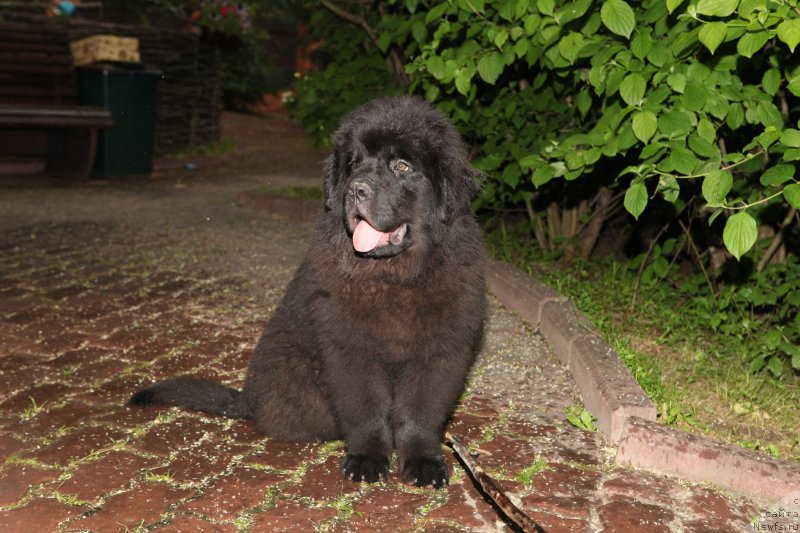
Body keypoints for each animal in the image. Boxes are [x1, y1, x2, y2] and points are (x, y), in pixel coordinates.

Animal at [130, 95, 488, 486]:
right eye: (354, 163)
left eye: (402, 166)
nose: (356, 190)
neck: (393, 278)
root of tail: (248, 399)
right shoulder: (350, 350)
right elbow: (368, 411)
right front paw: (366, 458)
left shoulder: (440, 351)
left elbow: (419, 415)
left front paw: (423, 462)